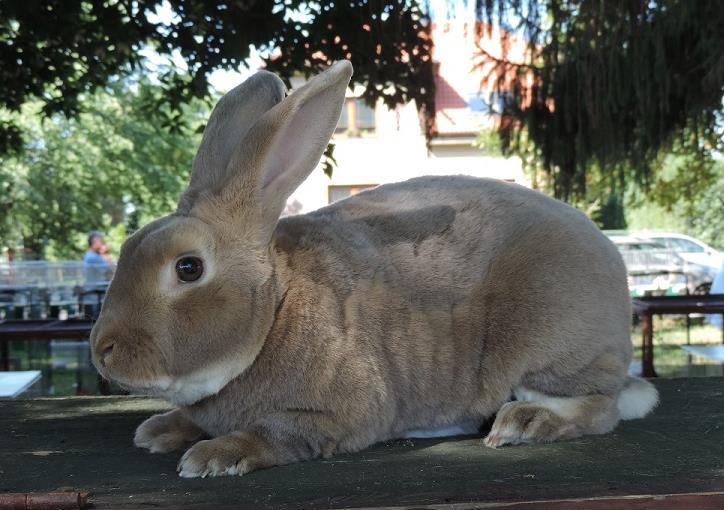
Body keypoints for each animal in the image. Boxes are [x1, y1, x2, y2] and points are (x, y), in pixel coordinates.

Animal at [89, 60, 656, 478]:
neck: (274, 311)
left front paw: (214, 455)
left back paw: (524, 422)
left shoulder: (343, 412)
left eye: (188, 268)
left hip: (550, 345)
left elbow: (278, 435)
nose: (103, 352)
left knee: (599, 407)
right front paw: (160, 430)